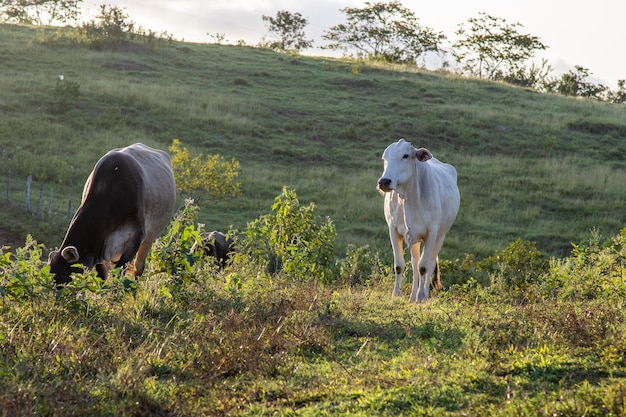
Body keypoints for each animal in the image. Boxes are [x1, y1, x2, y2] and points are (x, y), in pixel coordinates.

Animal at [47, 141, 176, 284]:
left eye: (63, 276)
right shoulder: (100, 246)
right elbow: (102, 275)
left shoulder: (134, 240)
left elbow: (119, 273)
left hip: (149, 238)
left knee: (139, 268)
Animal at [376, 138, 458, 300]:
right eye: (384, 158)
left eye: (406, 155)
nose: (384, 181)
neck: (408, 196)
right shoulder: (393, 230)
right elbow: (399, 265)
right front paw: (396, 293)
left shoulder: (431, 232)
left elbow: (424, 267)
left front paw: (421, 296)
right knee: (415, 262)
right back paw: (412, 295)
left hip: (440, 236)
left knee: (430, 263)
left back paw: (423, 295)